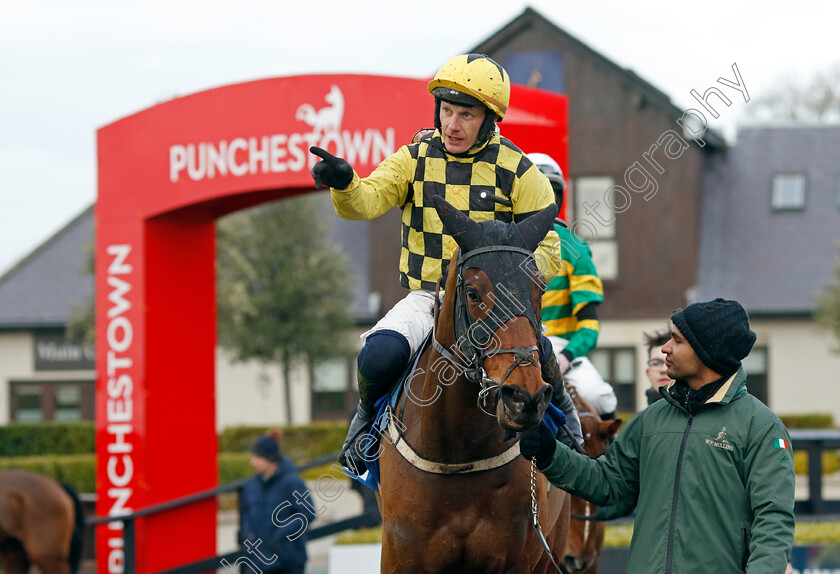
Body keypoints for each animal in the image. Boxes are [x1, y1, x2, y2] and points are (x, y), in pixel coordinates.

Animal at [376, 196, 568, 572]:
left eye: (539, 288)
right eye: (473, 293)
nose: (524, 397)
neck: (457, 451)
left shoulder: (519, 558)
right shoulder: (398, 555)